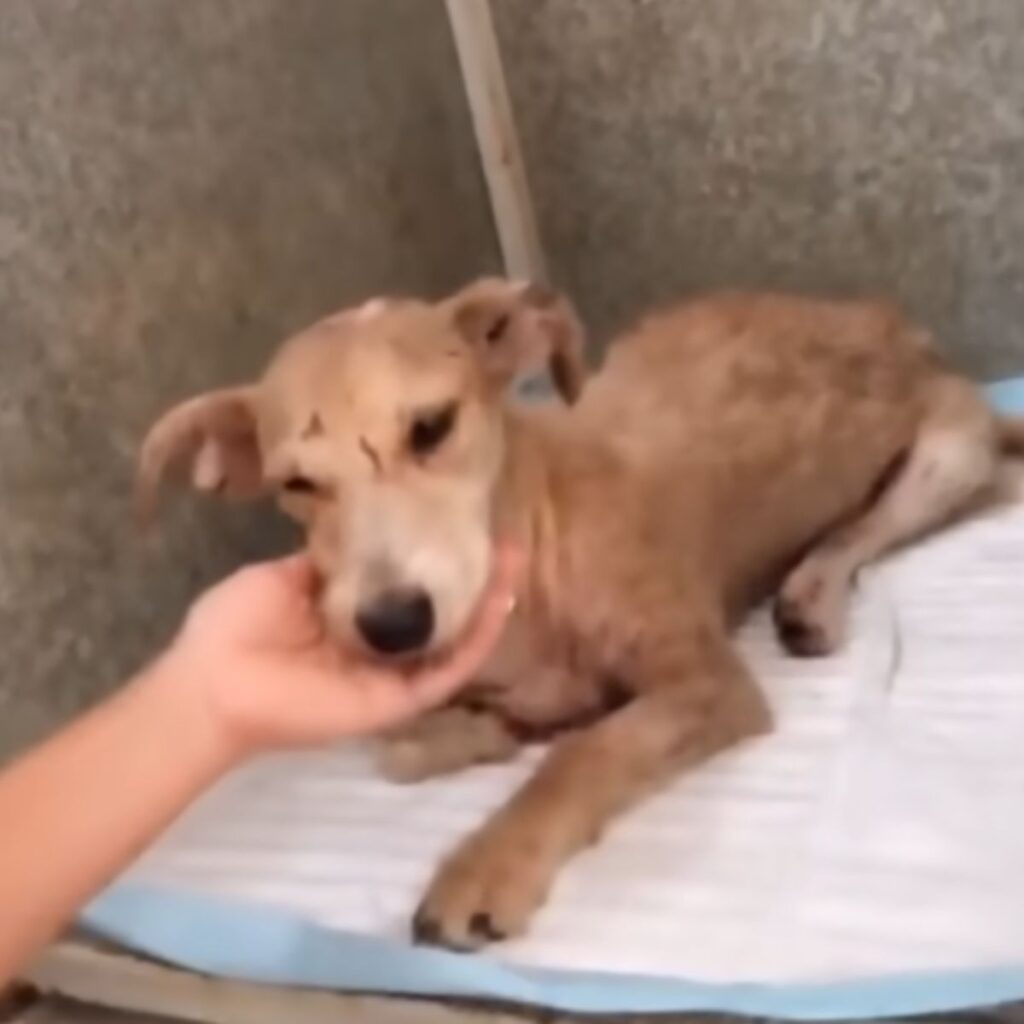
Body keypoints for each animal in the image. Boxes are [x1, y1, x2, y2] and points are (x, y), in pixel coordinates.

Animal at [138, 278, 1024, 950]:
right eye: (297, 484)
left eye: (432, 426)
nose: (392, 625)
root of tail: (898, 327)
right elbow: (413, 746)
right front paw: (475, 729)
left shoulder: (705, 682)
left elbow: (585, 753)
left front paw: (489, 862)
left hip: (947, 455)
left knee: (861, 530)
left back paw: (811, 593)